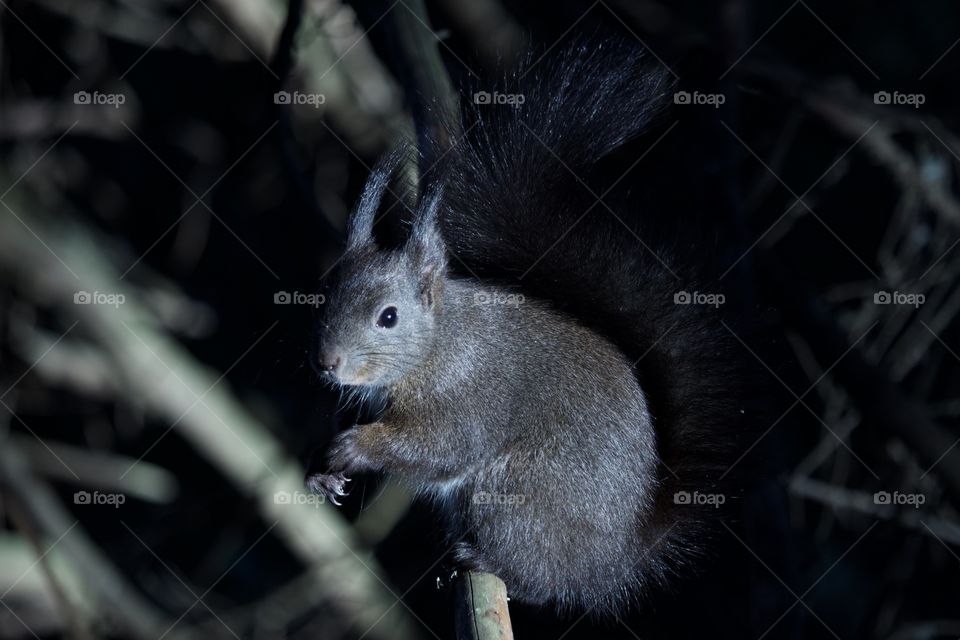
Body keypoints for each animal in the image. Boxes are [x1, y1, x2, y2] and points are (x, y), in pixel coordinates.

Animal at [308, 40, 752, 616]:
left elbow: (440, 445)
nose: (328, 363)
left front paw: (355, 448)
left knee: (539, 579)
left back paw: (486, 562)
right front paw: (323, 469)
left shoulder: (466, 393)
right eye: (326, 295)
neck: (437, 346)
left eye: (389, 316)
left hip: (515, 497)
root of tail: (612, 561)